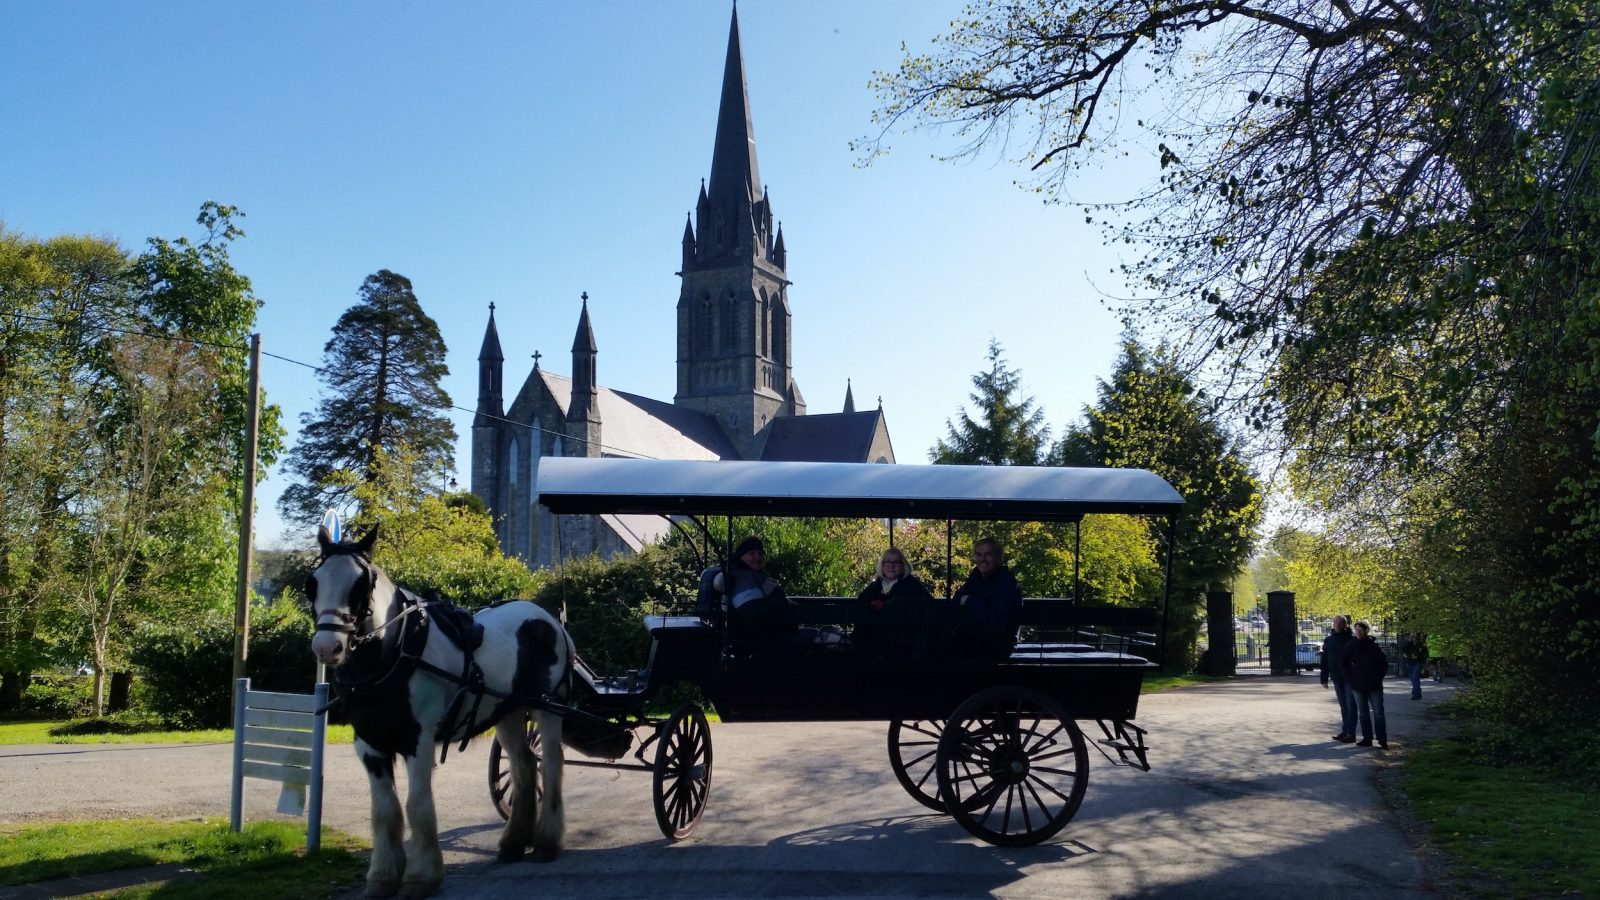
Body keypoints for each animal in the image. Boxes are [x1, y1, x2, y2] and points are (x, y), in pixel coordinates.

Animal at [305, 522, 569, 890]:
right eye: (313, 583)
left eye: (361, 584)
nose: (327, 647)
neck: (395, 651)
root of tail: (548, 618)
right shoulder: (369, 745)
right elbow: (384, 811)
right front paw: (383, 876)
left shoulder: (419, 740)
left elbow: (416, 805)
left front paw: (421, 877)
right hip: (508, 712)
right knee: (524, 764)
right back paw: (513, 842)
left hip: (549, 707)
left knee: (552, 764)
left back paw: (546, 842)